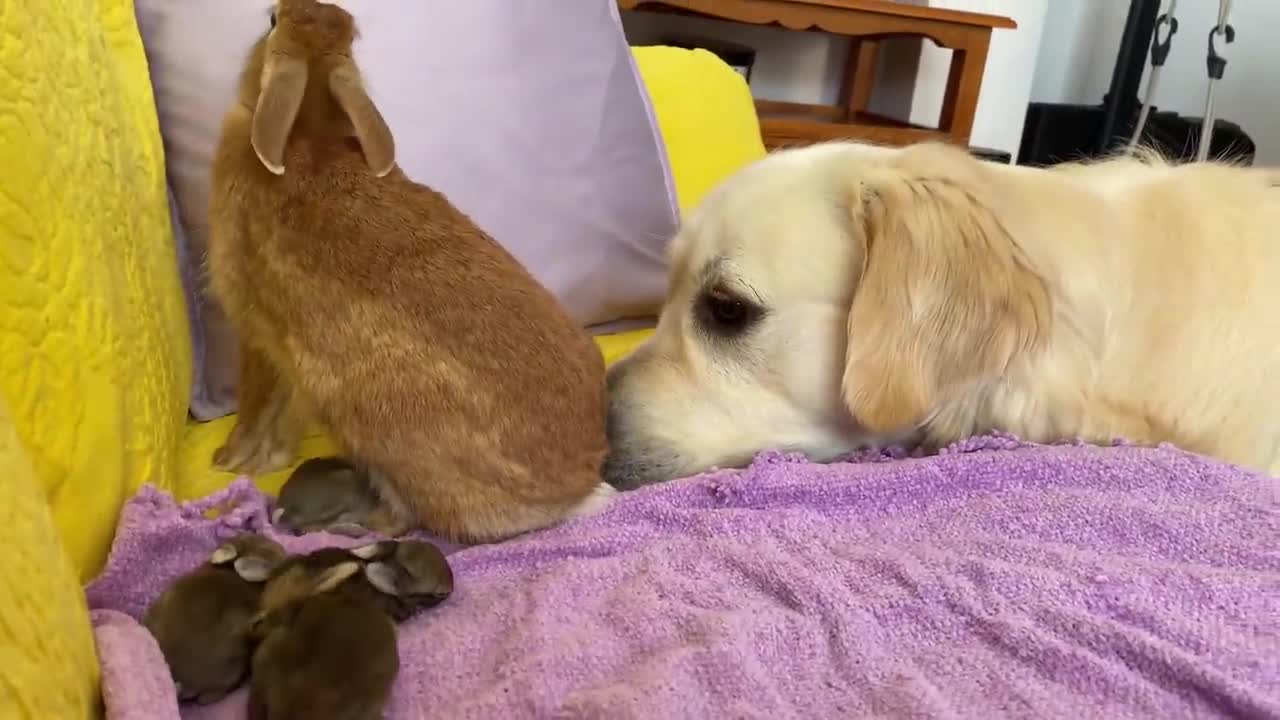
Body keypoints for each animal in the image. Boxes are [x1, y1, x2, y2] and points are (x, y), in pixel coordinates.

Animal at [206, 0, 614, 540]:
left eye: (271, 21)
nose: (280, 9)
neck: (307, 132)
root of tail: (578, 485)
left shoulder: (254, 331)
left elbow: (256, 399)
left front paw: (230, 459)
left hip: (367, 421)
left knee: (402, 518)